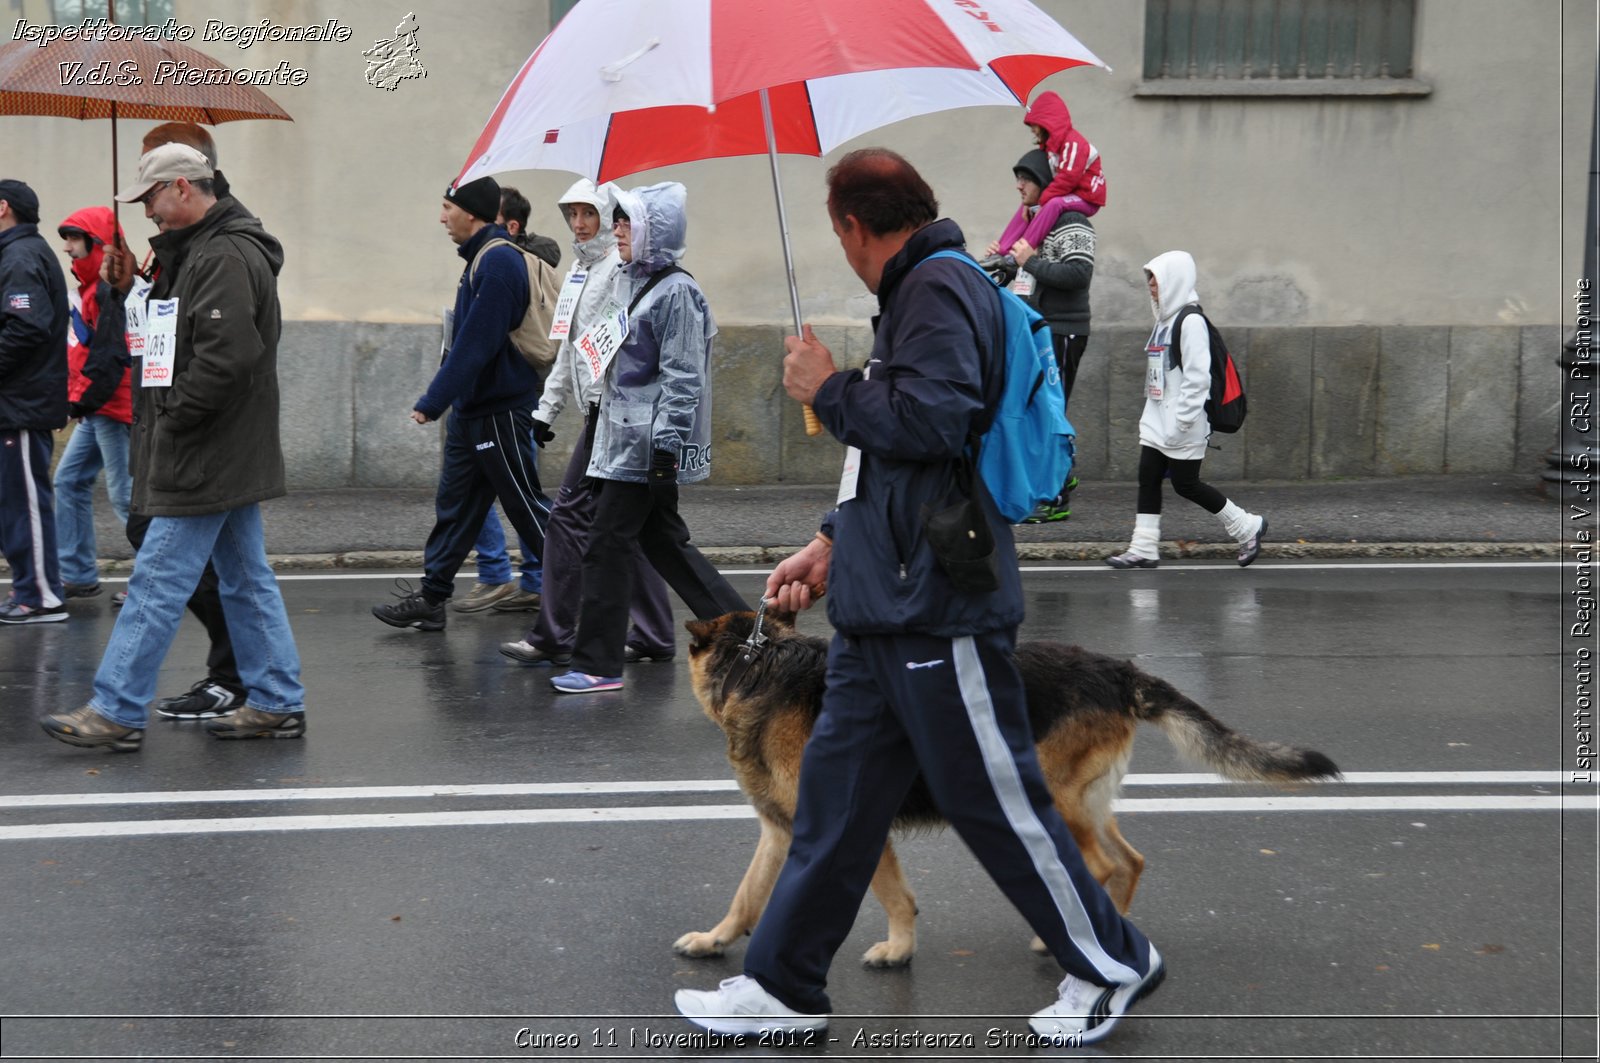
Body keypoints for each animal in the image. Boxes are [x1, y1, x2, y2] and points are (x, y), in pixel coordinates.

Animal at [675, 611, 1337, 966]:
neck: (756, 664)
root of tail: (1120, 670)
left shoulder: (853, 826)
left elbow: (892, 896)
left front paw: (897, 950)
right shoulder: (778, 831)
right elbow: (746, 897)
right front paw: (716, 940)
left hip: (1051, 799)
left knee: (1098, 867)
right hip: (1087, 803)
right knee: (1129, 862)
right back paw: (1111, 939)